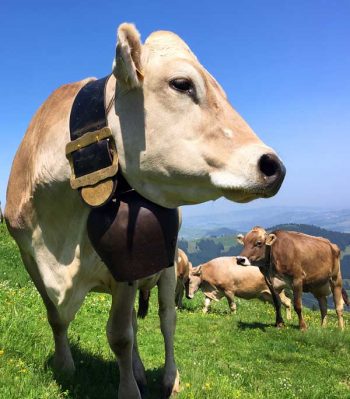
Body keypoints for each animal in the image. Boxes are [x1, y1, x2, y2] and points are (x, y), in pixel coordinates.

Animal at [4, 22, 286, 399]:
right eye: (181, 83)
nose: (274, 166)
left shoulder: (126, 265)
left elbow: (120, 336)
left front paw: (128, 390)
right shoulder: (29, 257)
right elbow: (57, 317)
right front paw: (65, 366)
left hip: (166, 270)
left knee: (167, 320)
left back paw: (169, 378)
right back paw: (138, 371)